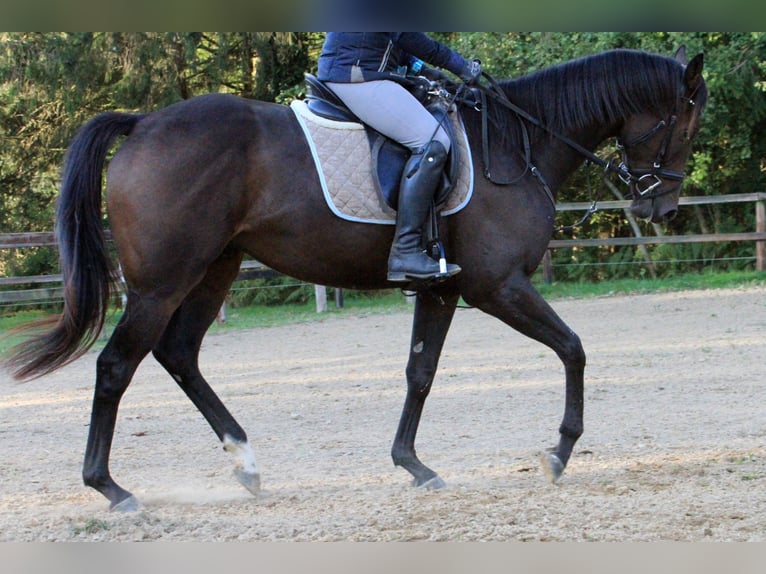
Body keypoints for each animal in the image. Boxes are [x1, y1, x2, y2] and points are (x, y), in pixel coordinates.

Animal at [7, 47, 708, 510]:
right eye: (685, 120)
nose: (664, 207)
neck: (517, 142)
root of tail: (144, 123)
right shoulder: (497, 286)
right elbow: (573, 348)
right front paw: (559, 453)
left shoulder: (443, 288)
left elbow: (420, 372)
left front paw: (413, 465)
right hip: (161, 283)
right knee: (116, 365)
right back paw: (111, 488)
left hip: (214, 270)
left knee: (178, 354)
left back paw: (246, 463)